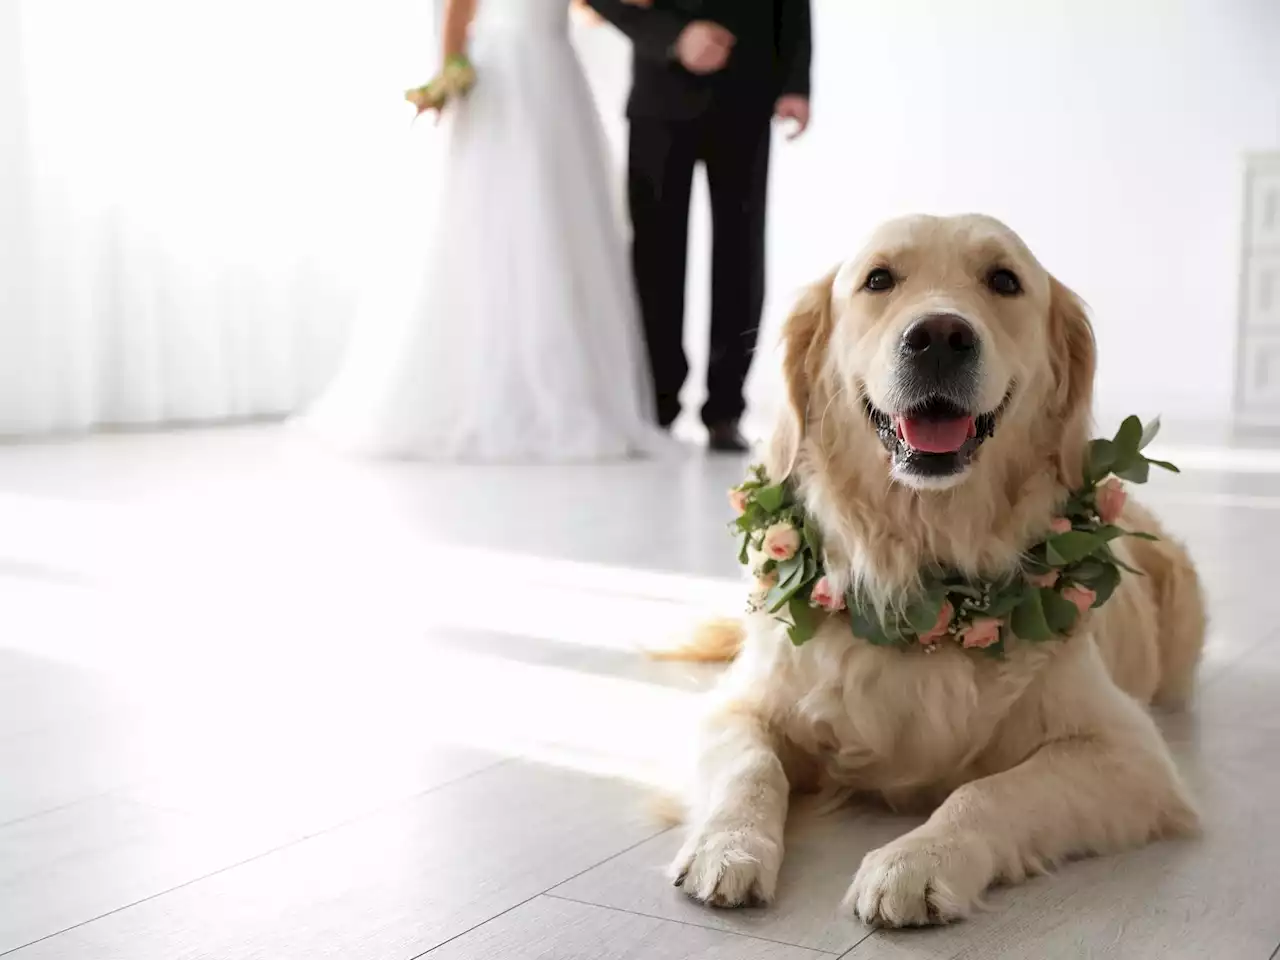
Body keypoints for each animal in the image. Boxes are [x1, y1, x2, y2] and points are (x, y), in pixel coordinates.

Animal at [675, 213, 1203, 926]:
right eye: (878, 280)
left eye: (1004, 281)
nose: (940, 338)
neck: (924, 568)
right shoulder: (739, 706)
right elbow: (750, 767)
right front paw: (726, 847)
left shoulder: (1128, 753)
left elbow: (989, 792)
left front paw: (916, 862)